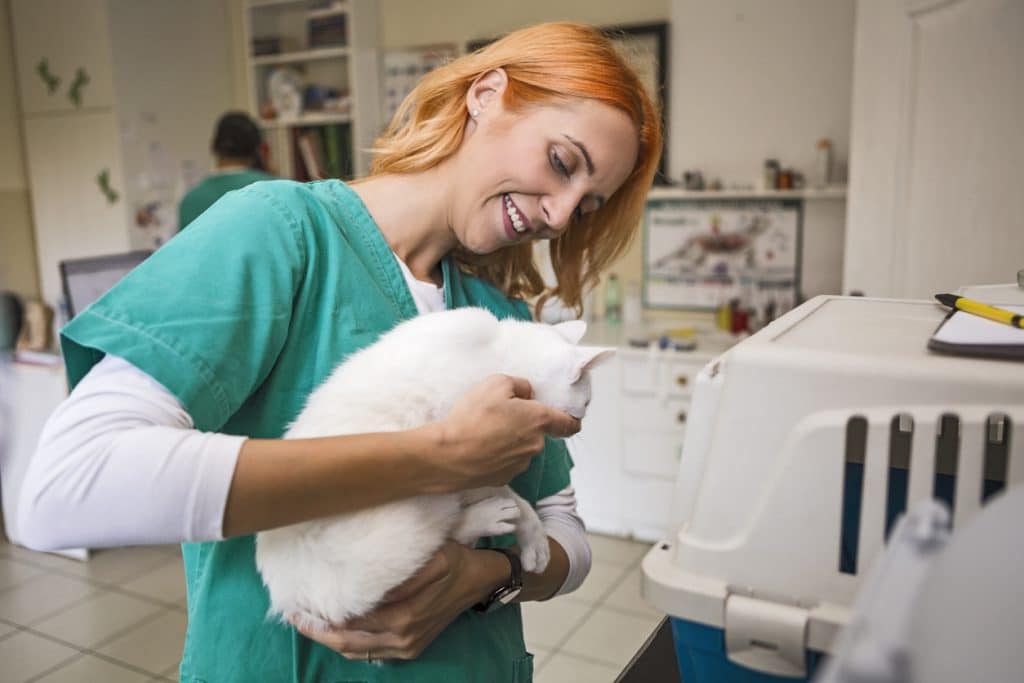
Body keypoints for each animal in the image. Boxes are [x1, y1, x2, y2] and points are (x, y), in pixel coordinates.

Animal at [254, 309, 610, 630]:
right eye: (586, 404)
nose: (578, 427)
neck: (496, 353)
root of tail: (290, 591)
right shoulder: (472, 463)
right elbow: (520, 503)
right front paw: (535, 541)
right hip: (414, 508)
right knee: (438, 537)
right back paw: (490, 516)